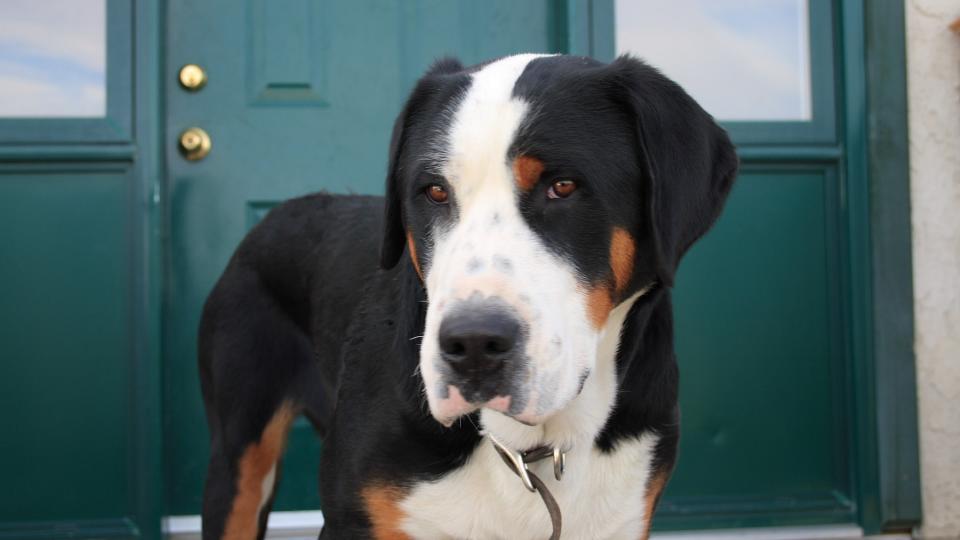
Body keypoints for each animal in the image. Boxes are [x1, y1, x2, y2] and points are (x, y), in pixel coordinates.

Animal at [199, 51, 740, 540]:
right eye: (435, 191)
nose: (473, 344)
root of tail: (275, 214)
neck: (528, 445)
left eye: (563, 186)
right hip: (237, 458)